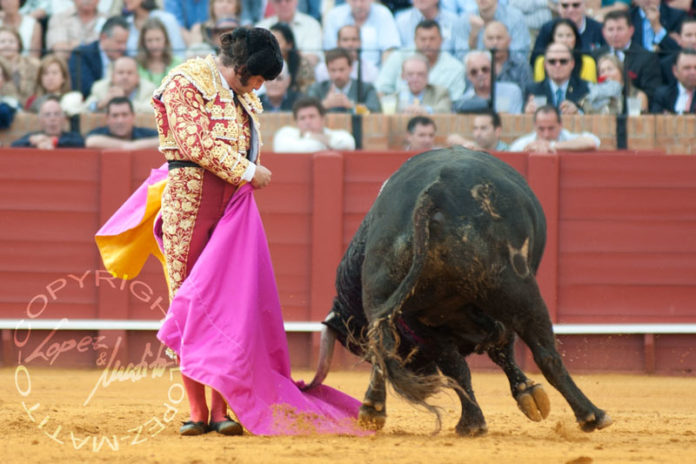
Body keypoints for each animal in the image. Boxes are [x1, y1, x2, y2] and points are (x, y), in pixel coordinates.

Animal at [308, 148, 612, 436]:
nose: (420, 372)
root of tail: (433, 193)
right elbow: (501, 349)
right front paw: (525, 392)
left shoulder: (420, 324)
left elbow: (459, 364)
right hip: (515, 287)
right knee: (545, 352)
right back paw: (591, 415)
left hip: (392, 292)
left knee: (389, 344)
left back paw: (382, 411)